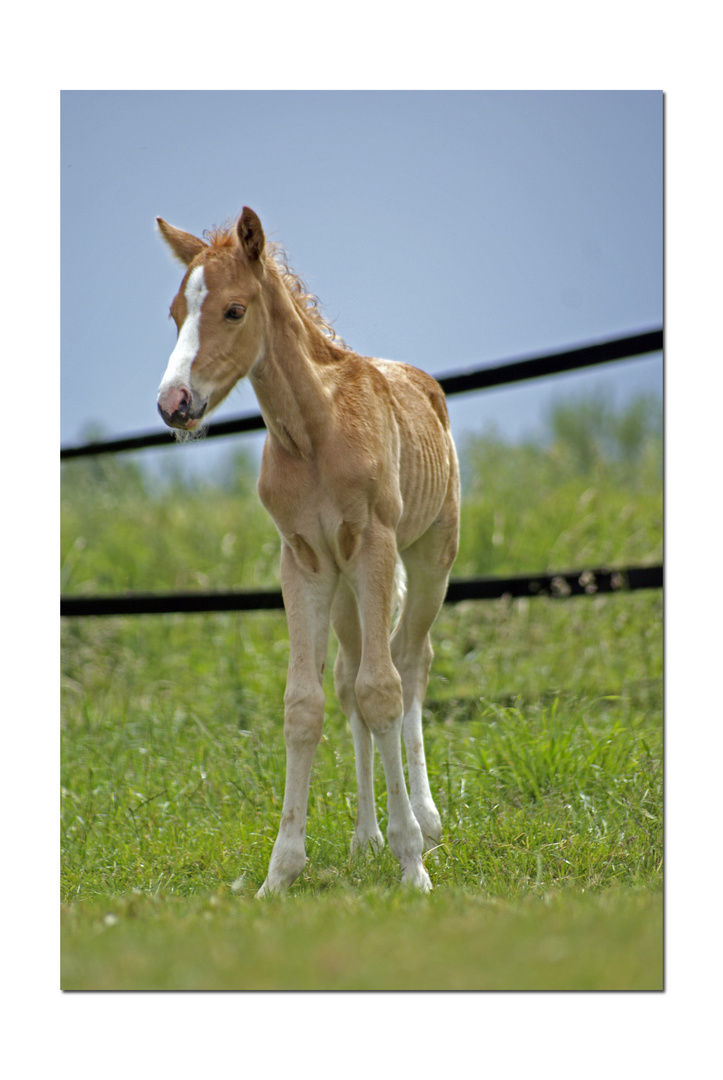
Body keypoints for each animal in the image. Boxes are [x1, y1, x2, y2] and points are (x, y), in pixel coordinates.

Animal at [155, 204, 460, 894]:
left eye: (234, 310)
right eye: (177, 313)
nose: (173, 404)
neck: (314, 434)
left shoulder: (374, 546)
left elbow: (384, 691)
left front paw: (412, 865)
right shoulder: (303, 561)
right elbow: (306, 704)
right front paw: (281, 873)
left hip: (430, 556)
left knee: (412, 662)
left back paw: (425, 825)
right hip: (346, 589)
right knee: (349, 679)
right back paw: (365, 837)